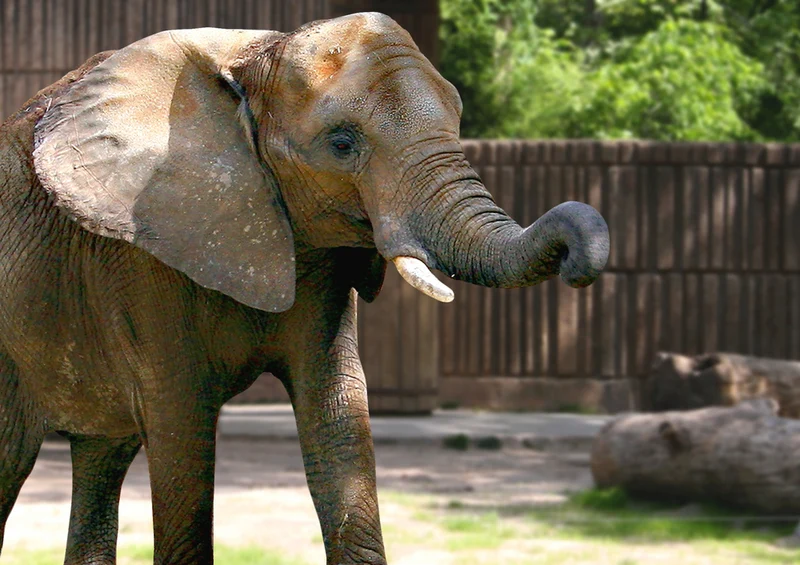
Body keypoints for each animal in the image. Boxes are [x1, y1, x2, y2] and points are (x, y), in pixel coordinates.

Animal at [0, 12, 609, 565]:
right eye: (341, 145)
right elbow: (182, 425)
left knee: (102, 456)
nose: (577, 258)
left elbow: (336, 407)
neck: (254, 57)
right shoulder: (142, 248)